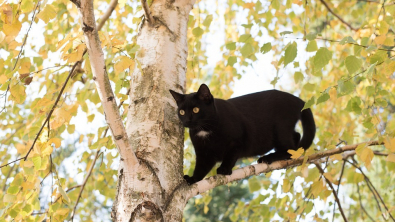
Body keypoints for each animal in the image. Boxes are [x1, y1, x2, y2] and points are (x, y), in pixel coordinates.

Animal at [169, 84, 316, 185]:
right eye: (181, 112)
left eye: (196, 109)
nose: (187, 120)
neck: (205, 130)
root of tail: (297, 99)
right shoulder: (204, 153)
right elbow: (201, 168)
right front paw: (193, 179)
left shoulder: (238, 141)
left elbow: (231, 156)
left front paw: (224, 169)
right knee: (295, 140)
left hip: (280, 129)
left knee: (289, 149)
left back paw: (268, 158)